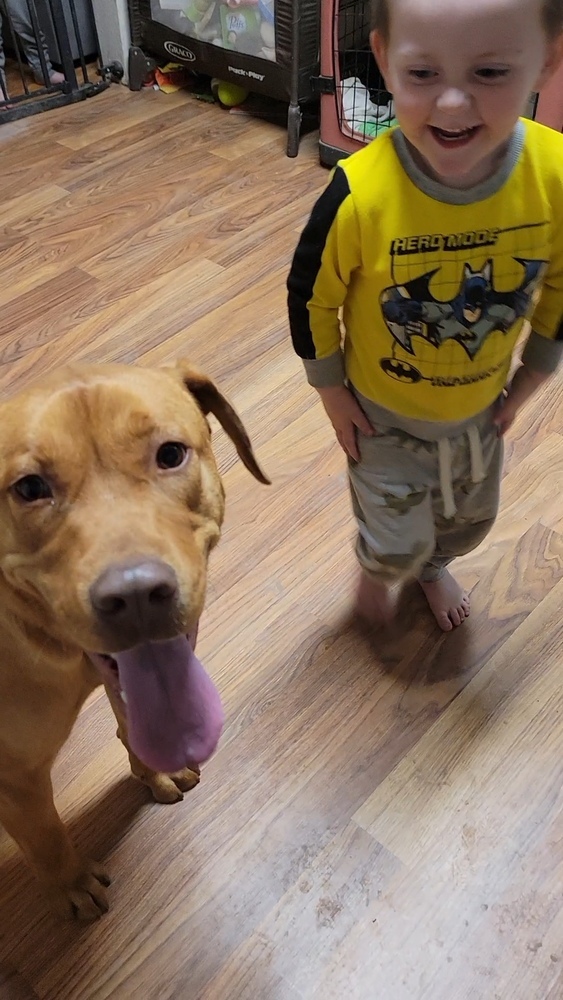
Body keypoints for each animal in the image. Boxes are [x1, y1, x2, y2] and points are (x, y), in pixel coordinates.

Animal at [0, 360, 268, 920]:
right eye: (30, 487)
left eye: (170, 454)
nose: (137, 594)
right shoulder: (14, 777)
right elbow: (46, 837)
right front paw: (72, 884)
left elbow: (131, 717)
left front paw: (154, 771)